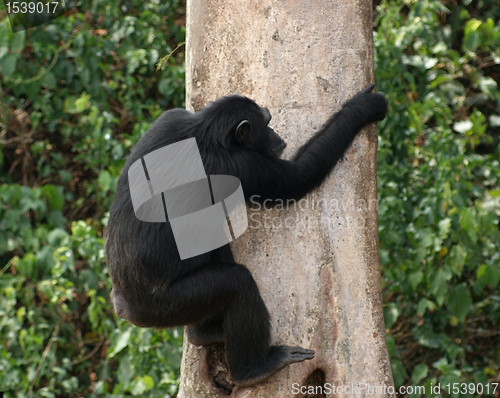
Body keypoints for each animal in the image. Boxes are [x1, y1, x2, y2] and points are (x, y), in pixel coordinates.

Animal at [104, 83, 386, 386]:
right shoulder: (243, 166)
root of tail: (124, 309)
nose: (277, 136)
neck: (206, 133)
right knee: (237, 285)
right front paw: (364, 108)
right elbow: (299, 177)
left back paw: (204, 332)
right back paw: (253, 369)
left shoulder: (167, 119)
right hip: (168, 304)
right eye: (267, 123)